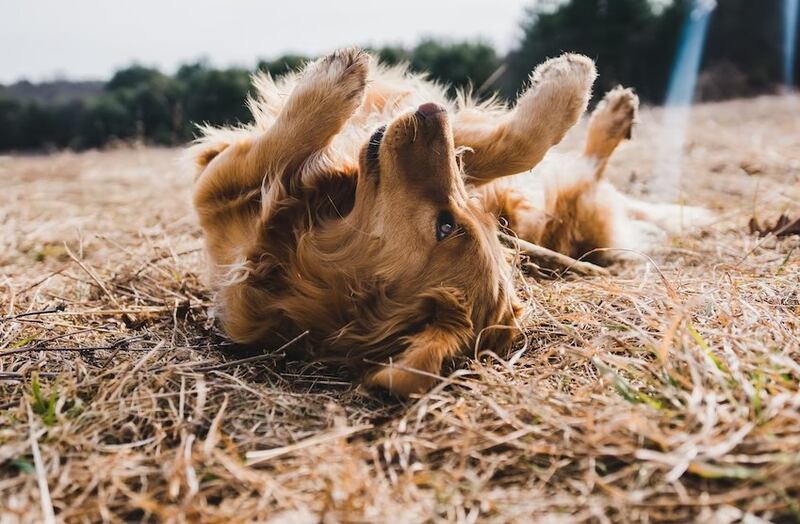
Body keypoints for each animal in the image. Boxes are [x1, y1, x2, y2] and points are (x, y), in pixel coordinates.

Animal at [191, 49, 708, 396]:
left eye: (447, 226)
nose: (432, 111)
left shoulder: (214, 192)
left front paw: (332, 86)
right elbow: (509, 147)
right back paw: (616, 113)